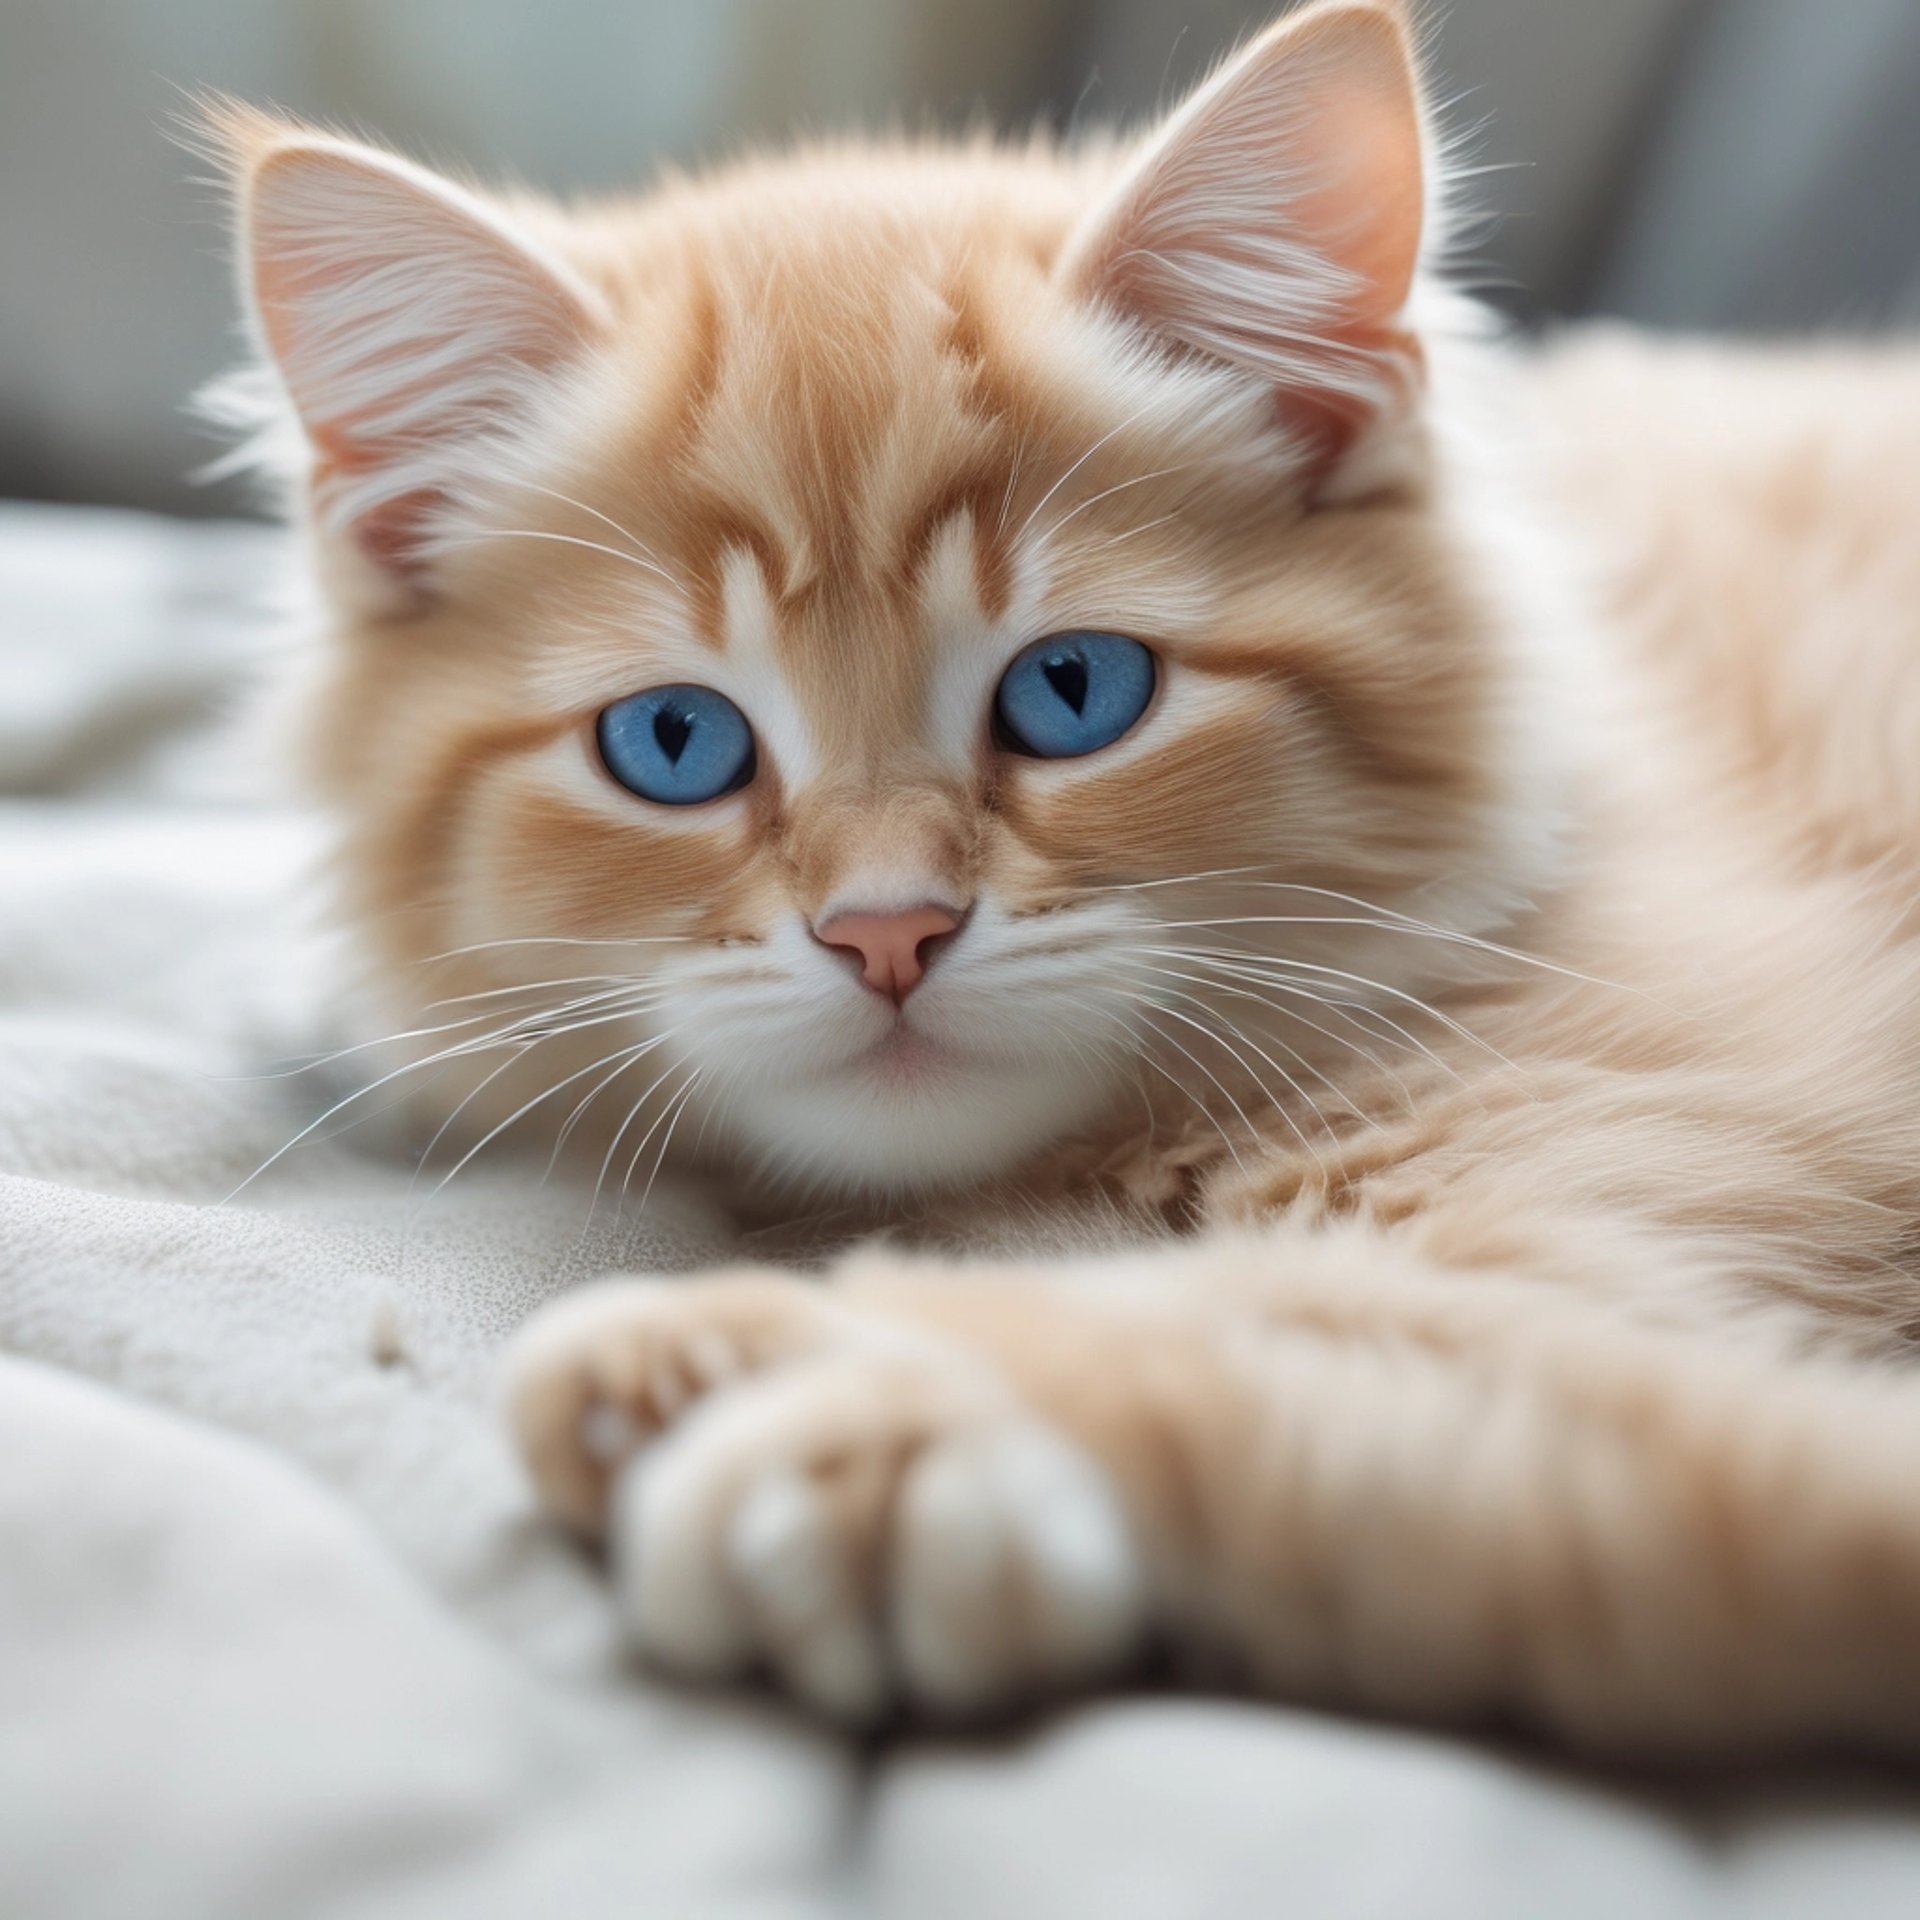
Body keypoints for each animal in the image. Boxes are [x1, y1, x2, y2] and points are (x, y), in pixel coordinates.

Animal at [202, 0, 1920, 1758]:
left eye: (1075, 692)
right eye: (675, 742)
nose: (888, 931)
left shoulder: (1645, 1244)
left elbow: (1336, 1373)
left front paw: (856, 1408)